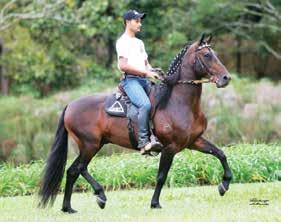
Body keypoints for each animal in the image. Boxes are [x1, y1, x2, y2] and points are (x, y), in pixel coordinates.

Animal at [38, 33, 232, 212]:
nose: (226, 78)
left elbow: (220, 153)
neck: (178, 102)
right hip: (89, 145)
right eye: (207, 55)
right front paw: (155, 203)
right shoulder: (170, 148)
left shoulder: (193, 141)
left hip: (95, 144)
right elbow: (161, 176)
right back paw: (100, 195)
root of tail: (70, 106)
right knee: (80, 168)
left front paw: (224, 185)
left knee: (72, 171)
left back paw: (68, 208)